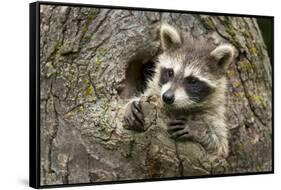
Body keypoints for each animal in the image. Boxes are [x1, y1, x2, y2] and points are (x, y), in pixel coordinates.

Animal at [123, 23, 235, 157]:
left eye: (193, 81)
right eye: (170, 73)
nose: (167, 97)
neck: (178, 107)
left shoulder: (213, 114)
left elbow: (220, 146)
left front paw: (198, 129)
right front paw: (131, 104)